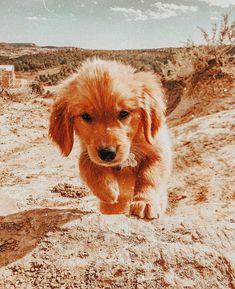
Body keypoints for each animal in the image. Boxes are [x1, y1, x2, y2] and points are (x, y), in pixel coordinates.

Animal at [48, 58, 172, 218]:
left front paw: (145, 202)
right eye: (86, 116)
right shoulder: (87, 150)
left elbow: (149, 175)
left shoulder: (158, 149)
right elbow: (86, 165)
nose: (107, 153)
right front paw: (107, 190)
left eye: (124, 113)